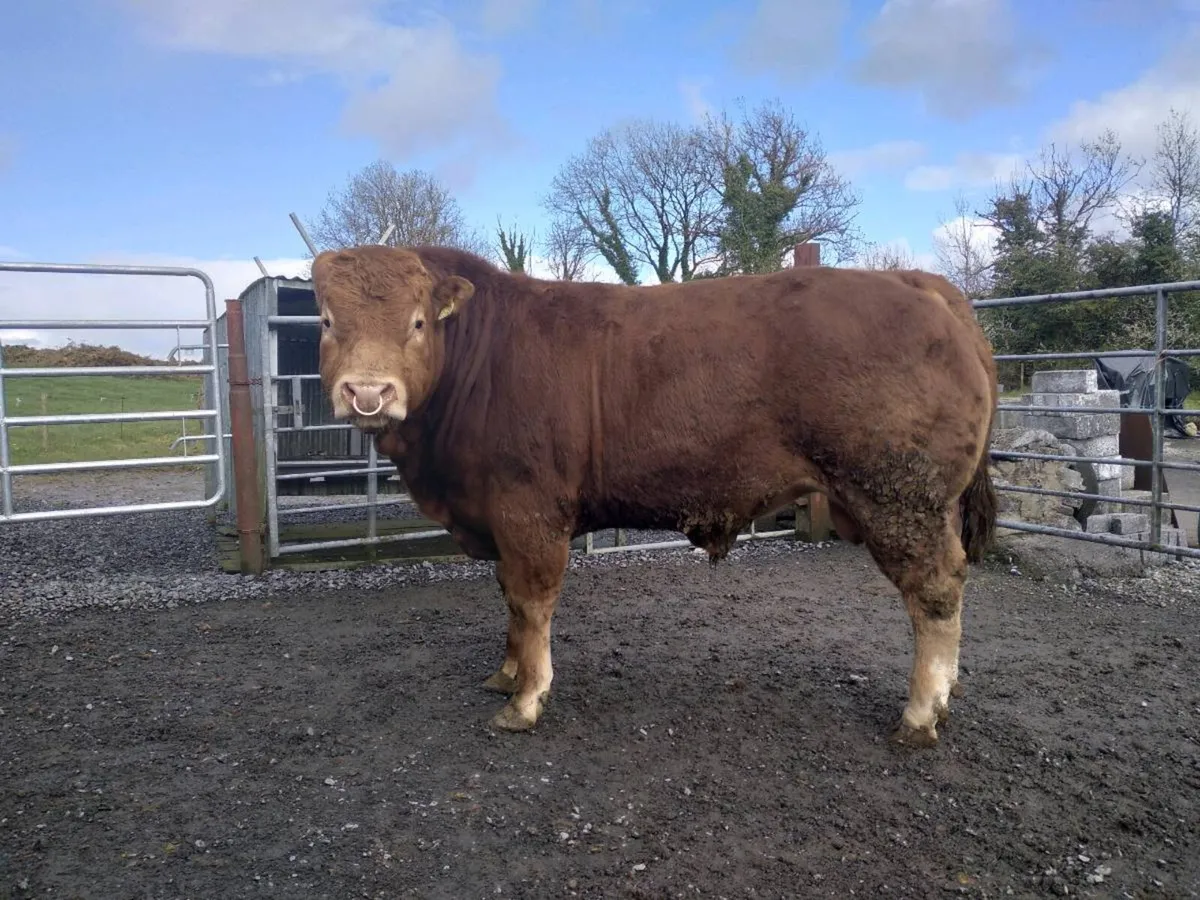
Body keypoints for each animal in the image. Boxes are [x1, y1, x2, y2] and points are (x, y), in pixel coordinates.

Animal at [311, 244, 999, 748]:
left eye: (417, 323)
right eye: (327, 320)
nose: (368, 393)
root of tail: (918, 282)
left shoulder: (528, 510)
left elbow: (532, 603)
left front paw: (526, 698)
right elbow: (508, 598)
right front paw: (504, 675)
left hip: (899, 498)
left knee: (936, 591)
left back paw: (920, 714)